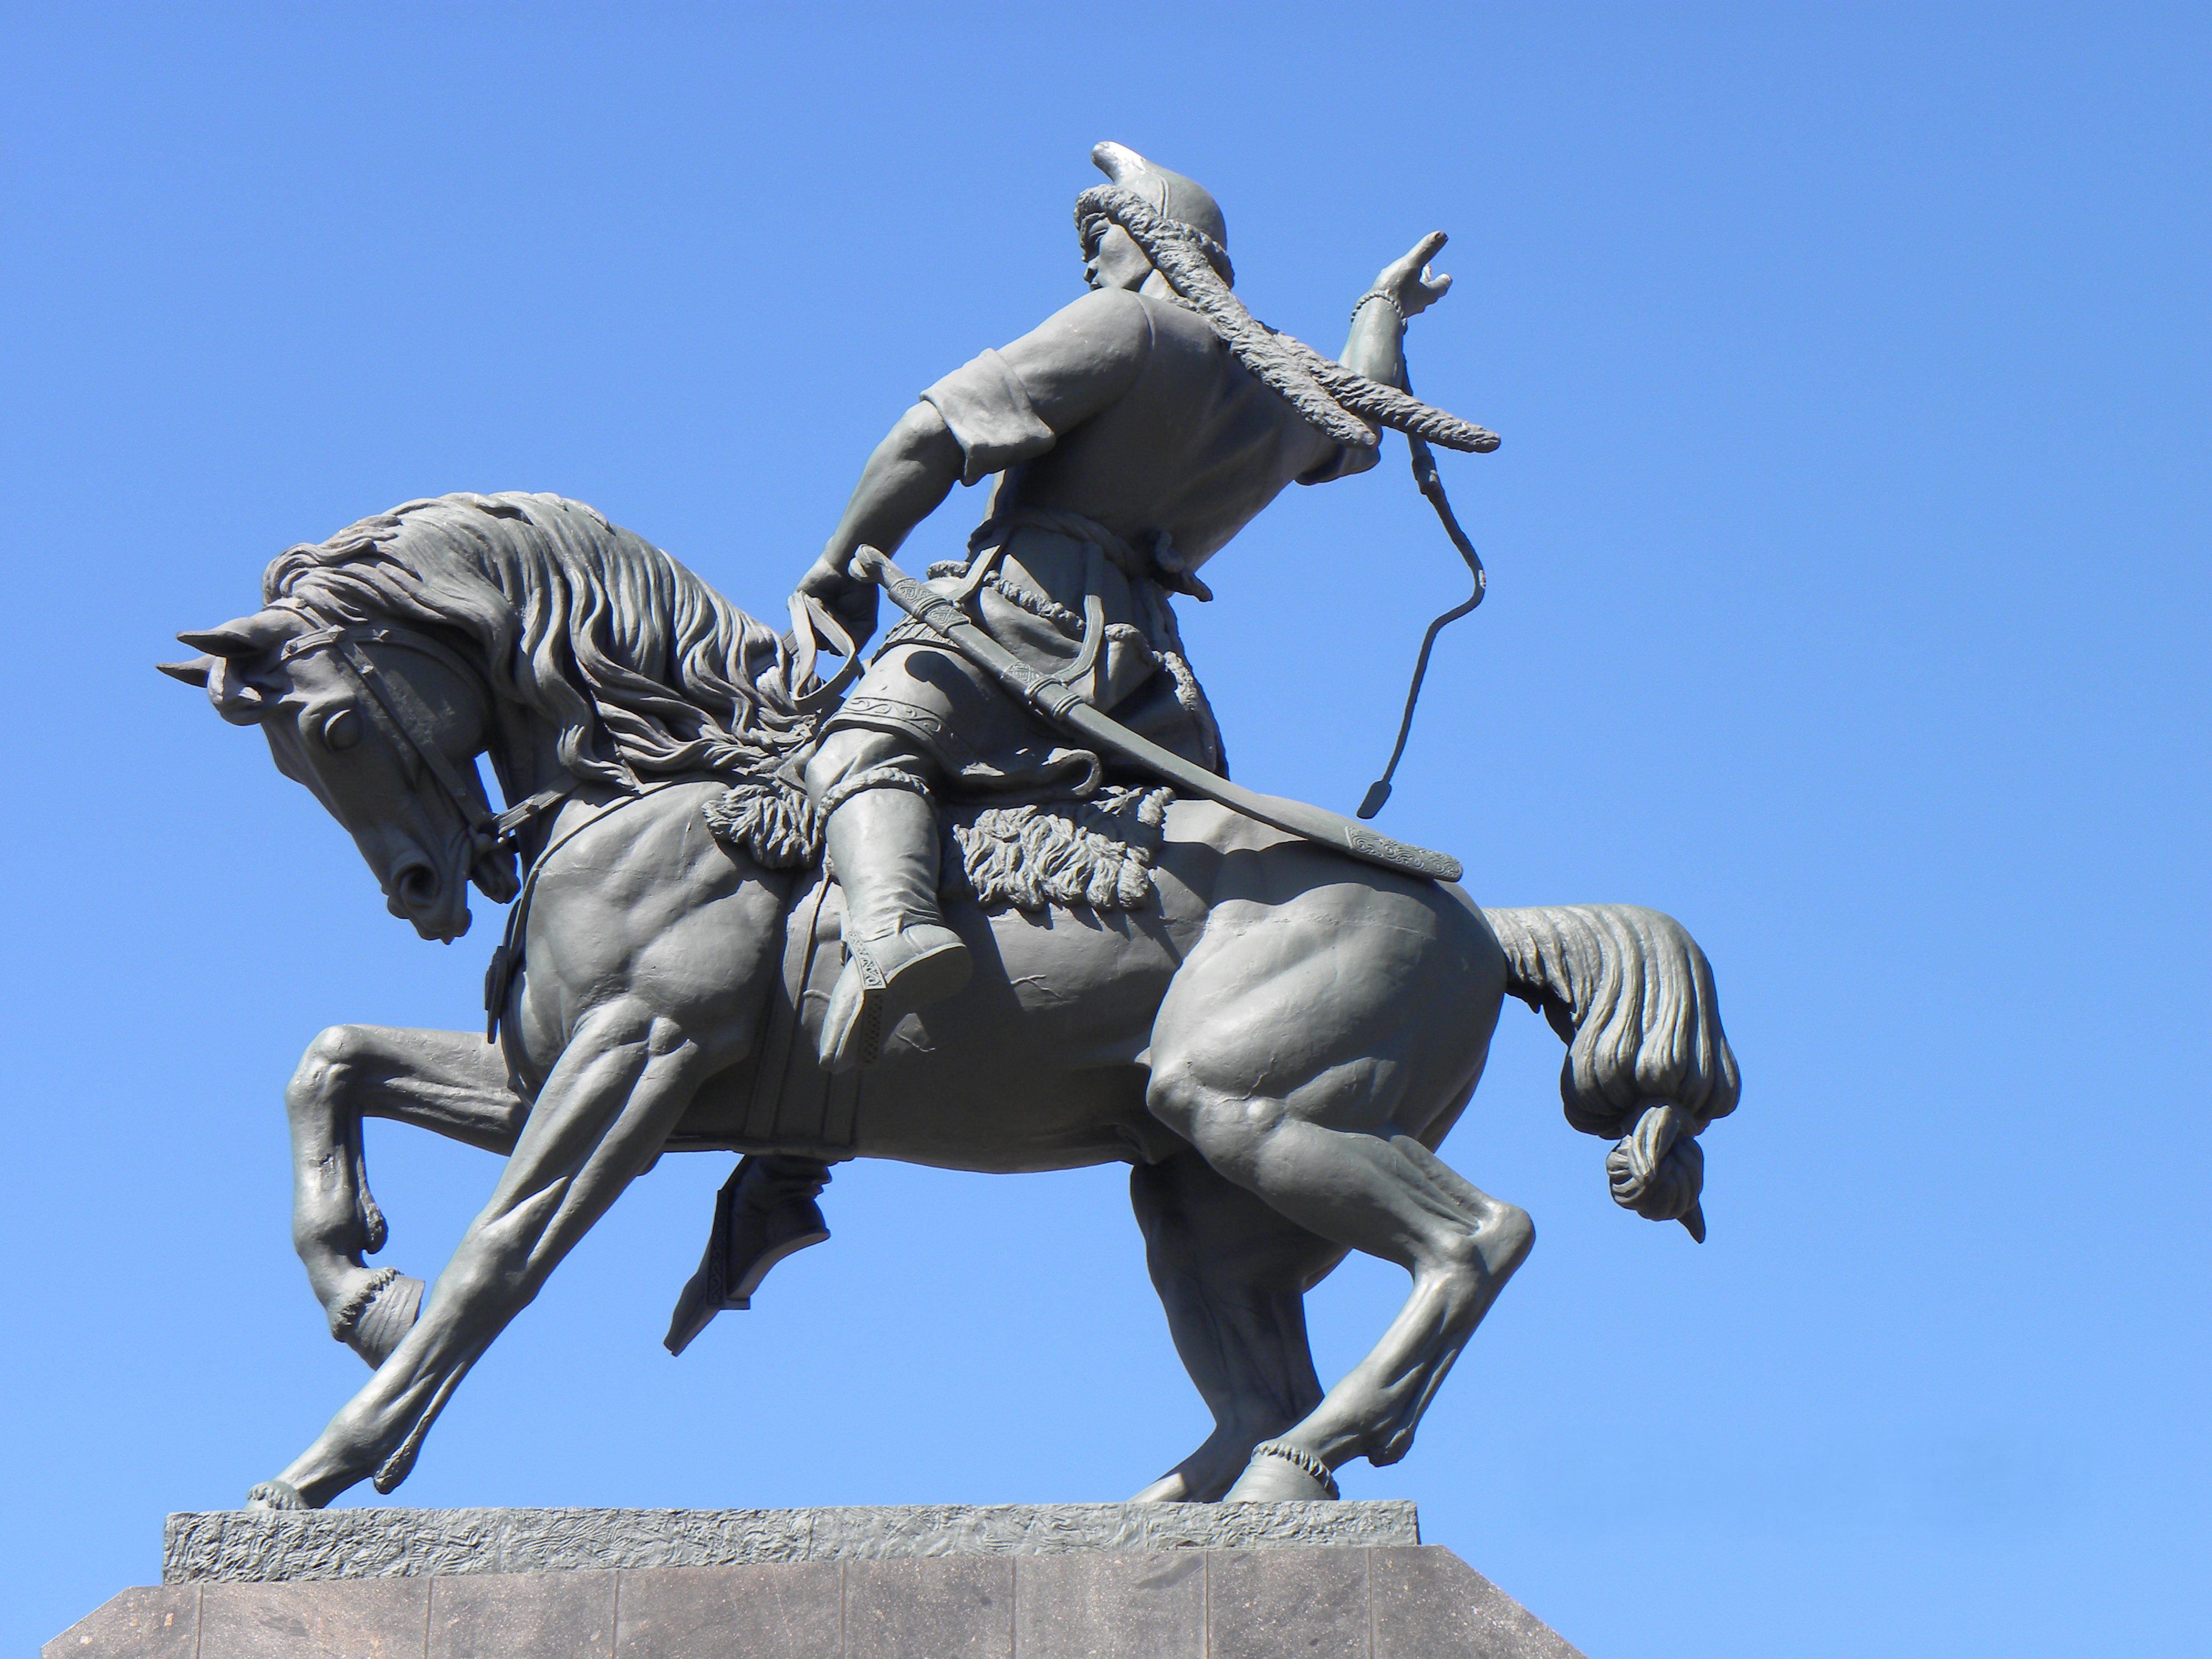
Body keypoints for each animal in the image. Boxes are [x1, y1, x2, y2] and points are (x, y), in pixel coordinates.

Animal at [164, 487, 1734, 1513]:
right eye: (293, 753)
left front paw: (328, 1462)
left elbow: (501, 1255)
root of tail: (1484, 922)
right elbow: (331, 1060)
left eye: (332, 725)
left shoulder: (636, 1058)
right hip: (1199, 1192)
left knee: (1476, 1242)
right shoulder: (547, 1071)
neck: (659, 774)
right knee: (1260, 1385)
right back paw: (1186, 1505)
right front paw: (359, 1284)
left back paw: (1308, 1462)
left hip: (1258, 1113)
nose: (426, 888)